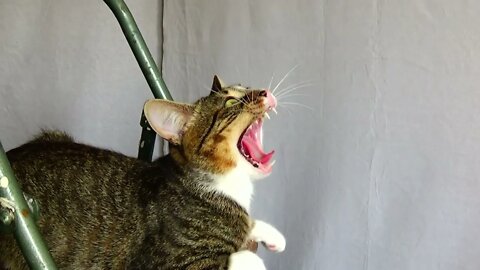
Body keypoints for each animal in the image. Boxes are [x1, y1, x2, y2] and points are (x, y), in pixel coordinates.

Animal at [0, 76, 284, 270]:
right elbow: (241, 257)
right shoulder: (171, 263)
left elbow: (250, 223)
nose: (264, 91)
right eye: (232, 101)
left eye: (246, 87)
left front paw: (274, 236)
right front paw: (254, 257)